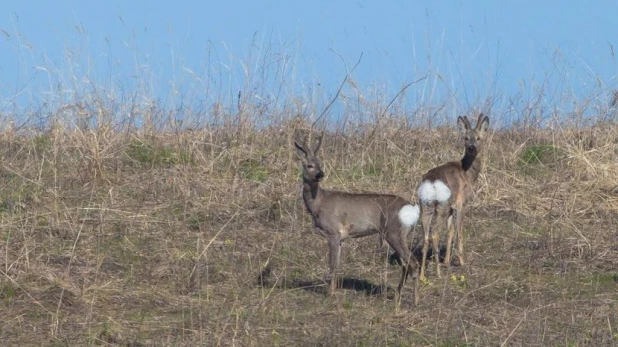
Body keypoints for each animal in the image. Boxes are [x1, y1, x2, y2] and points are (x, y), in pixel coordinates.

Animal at [292, 135, 418, 306]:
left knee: (412, 262)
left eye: (320, 163)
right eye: (310, 165)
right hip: (399, 234)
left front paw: (330, 294)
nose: (320, 174)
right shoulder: (340, 237)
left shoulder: (332, 231)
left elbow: (332, 263)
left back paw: (414, 300)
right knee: (406, 264)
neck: (319, 202)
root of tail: (413, 209)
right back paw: (397, 296)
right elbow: (337, 263)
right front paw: (333, 290)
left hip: (393, 232)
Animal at [416, 113, 488, 282]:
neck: (468, 173)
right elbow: (459, 230)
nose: (472, 147)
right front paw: (461, 260)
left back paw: (422, 275)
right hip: (441, 205)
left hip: (426, 206)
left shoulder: (451, 208)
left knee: (426, 237)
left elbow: (450, 232)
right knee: (435, 234)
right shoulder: (462, 202)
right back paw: (437, 273)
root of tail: (431, 183)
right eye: (466, 138)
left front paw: (447, 261)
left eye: (479, 138)